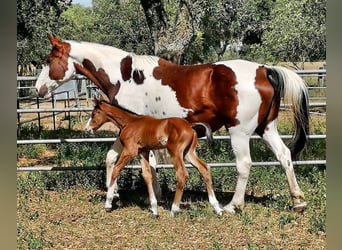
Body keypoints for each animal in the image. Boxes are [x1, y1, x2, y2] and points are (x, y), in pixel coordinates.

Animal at [87, 98, 223, 217]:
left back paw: (173, 210)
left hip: (176, 153)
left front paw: (108, 203)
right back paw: (217, 208)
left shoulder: (130, 151)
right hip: (188, 153)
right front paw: (154, 209)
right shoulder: (143, 152)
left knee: (182, 174)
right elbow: (147, 175)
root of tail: (190, 126)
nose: (87, 129)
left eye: (93, 114)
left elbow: (116, 170)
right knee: (204, 168)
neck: (130, 122)